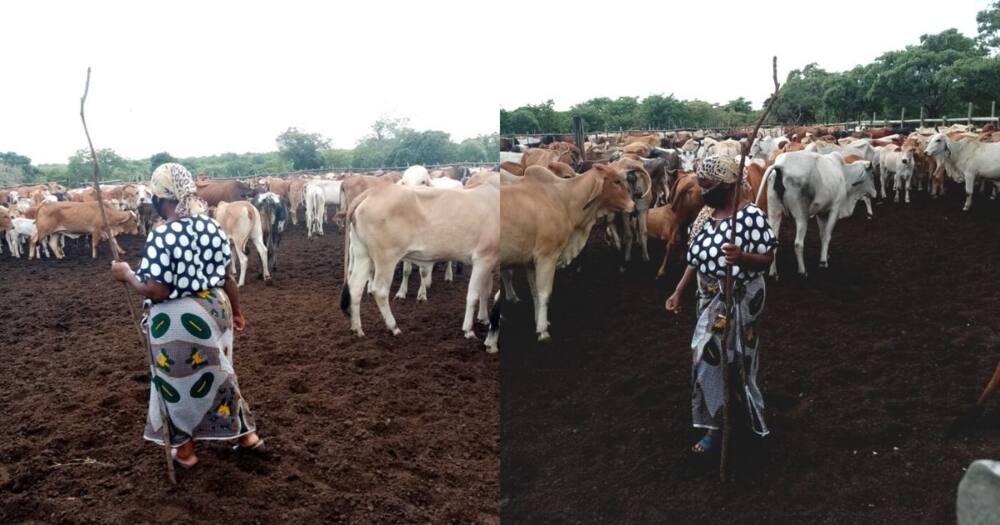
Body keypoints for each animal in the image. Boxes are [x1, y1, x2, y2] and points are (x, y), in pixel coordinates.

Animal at [500, 166, 632, 342]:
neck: (562, 199)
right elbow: (544, 293)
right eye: (616, 181)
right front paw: (543, 331)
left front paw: (539, 322)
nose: (633, 204)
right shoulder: (546, 257)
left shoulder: (530, 262)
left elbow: (535, 293)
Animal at [764, 150, 876, 278]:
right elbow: (827, 235)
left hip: (774, 212)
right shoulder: (835, 209)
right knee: (798, 244)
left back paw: (773, 273)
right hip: (801, 216)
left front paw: (825, 255)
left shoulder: (821, 213)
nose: (875, 193)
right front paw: (823, 261)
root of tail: (782, 166)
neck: (843, 174)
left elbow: (822, 234)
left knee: (773, 242)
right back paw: (803, 271)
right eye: (872, 175)